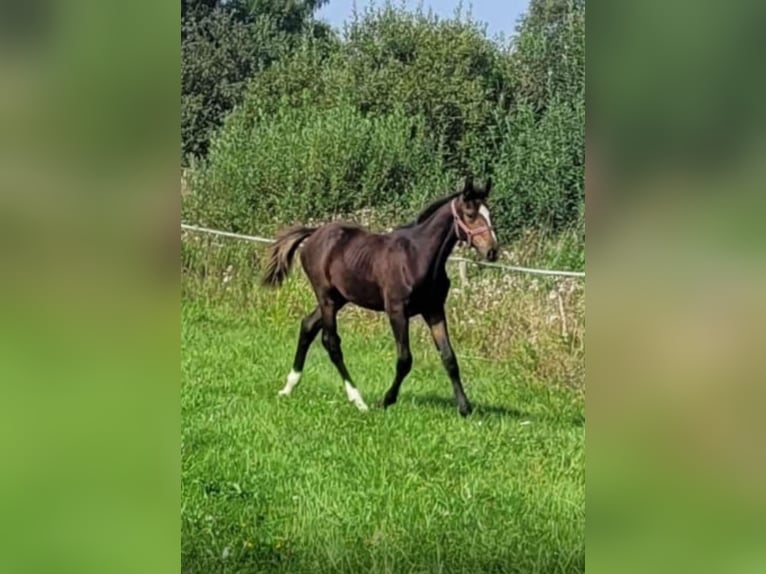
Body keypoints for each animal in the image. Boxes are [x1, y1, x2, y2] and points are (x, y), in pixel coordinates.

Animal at [264, 177, 500, 418]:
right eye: (470, 214)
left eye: (489, 212)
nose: (492, 251)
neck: (417, 257)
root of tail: (314, 233)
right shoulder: (397, 311)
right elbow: (405, 359)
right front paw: (386, 400)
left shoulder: (433, 309)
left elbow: (449, 357)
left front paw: (465, 408)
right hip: (326, 297)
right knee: (331, 342)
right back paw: (358, 400)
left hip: (339, 298)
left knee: (308, 325)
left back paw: (289, 387)